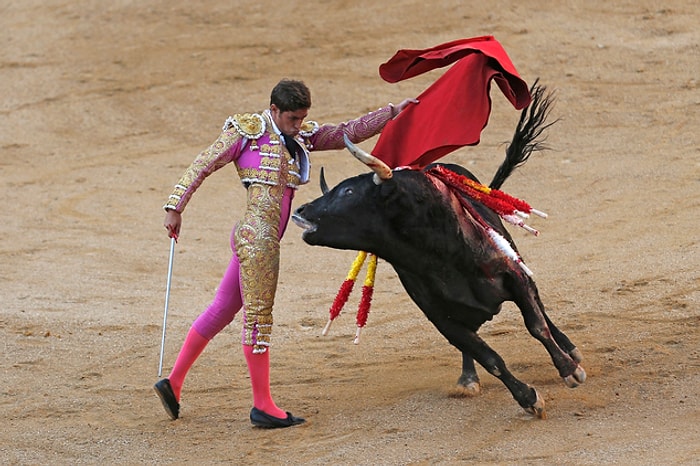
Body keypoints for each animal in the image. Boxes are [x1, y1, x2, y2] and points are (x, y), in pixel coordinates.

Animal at [290, 84, 584, 418]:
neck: (439, 252)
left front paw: (569, 370)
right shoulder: (441, 318)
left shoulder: (514, 276)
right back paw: (468, 379)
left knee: (540, 308)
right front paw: (528, 398)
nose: (300, 210)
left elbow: (536, 324)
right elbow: (489, 358)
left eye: (349, 191)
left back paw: (570, 350)